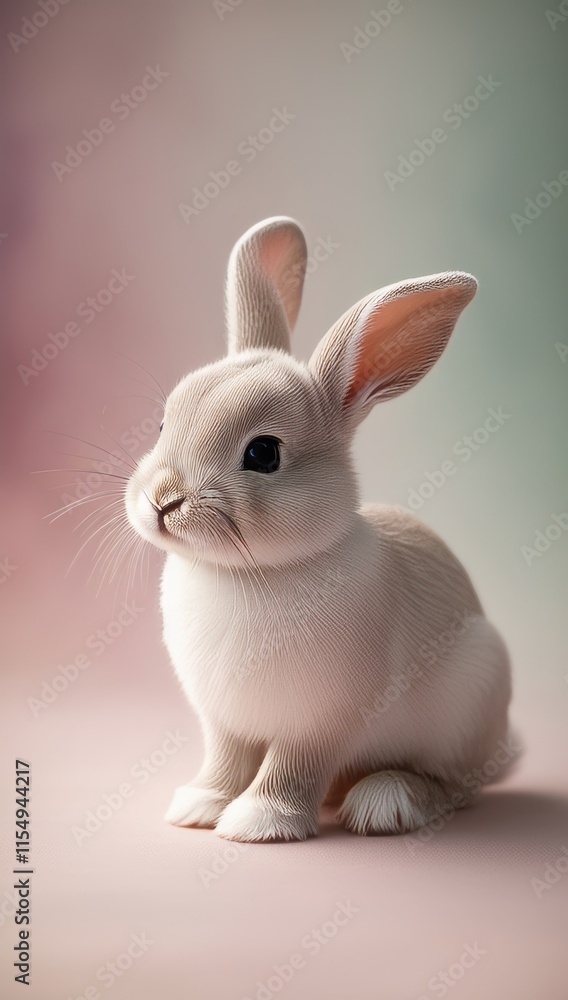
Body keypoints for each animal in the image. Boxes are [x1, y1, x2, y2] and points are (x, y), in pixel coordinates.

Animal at [125, 216, 512, 842]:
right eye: (164, 422)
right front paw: (199, 807)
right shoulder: (225, 722)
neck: (252, 569)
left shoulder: (322, 721)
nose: (162, 501)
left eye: (263, 453)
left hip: (472, 695)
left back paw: (386, 801)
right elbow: (225, 761)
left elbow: (291, 767)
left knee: (456, 785)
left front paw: (257, 822)